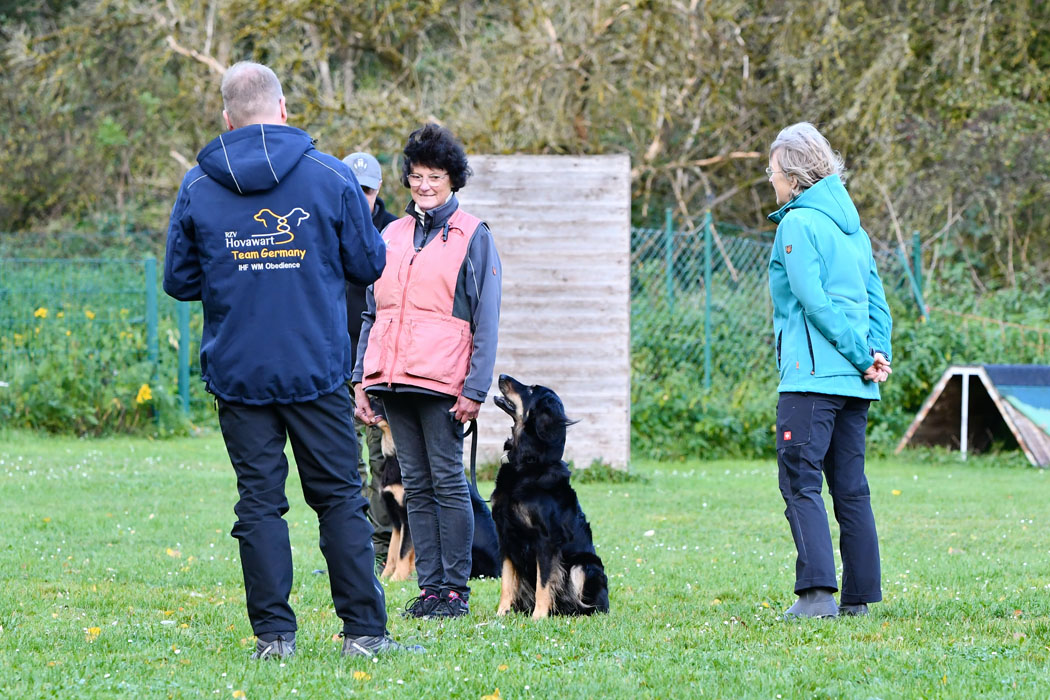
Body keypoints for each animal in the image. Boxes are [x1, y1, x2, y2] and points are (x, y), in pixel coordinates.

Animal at [375, 415, 501, 579]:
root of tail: (499, 570)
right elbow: (393, 552)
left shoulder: (408, 517)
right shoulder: (395, 518)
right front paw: (385, 577)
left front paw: (398, 578)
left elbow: (403, 552)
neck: (393, 457)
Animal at [489, 375, 609, 621]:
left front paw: (539, 616)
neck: (527, 464)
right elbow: (507, 582)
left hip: (585, 566)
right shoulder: (505, 536)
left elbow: (544, 582)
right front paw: (502, 613)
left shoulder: (546, 539)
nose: (502, 376)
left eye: (531, 389)